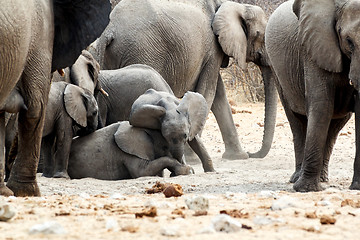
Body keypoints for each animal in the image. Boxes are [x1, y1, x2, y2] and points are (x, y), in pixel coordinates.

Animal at [90, 0, 278, 161]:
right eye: (260, 35)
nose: (252, 154)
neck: (233, 5)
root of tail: (110, 29)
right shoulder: (212, 48)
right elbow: (208, 93)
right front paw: (193, 158)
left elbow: (218, 97)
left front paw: (238, 157)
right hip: (143, 51)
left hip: (102, 52)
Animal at [266, 0, 360, 191]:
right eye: (349, 41)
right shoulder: (312, 48)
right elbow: (321, 105)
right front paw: (305, 190)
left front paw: (357, 187)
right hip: (277, 70)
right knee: (297, 121)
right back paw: (297, 178)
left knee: (335, 124)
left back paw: (322, 178)